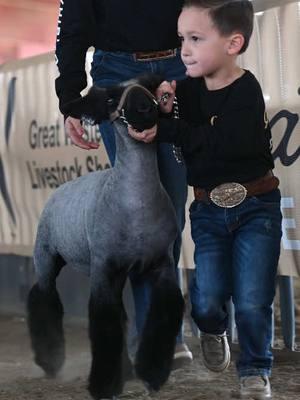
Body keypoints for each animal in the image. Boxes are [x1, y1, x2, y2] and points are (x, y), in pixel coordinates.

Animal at [27, 75, 184, 400]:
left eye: (151, 89)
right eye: (111, 99)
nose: (145, 108)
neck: (135, 203)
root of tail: (61, 188)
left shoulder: (160, 264)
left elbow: (162, 315)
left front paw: (152, 373)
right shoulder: (104, 267)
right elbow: (103, 324)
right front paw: (103, 385)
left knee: (119, 316)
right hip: (47, 255)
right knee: (42, 296)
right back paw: (50, 360)